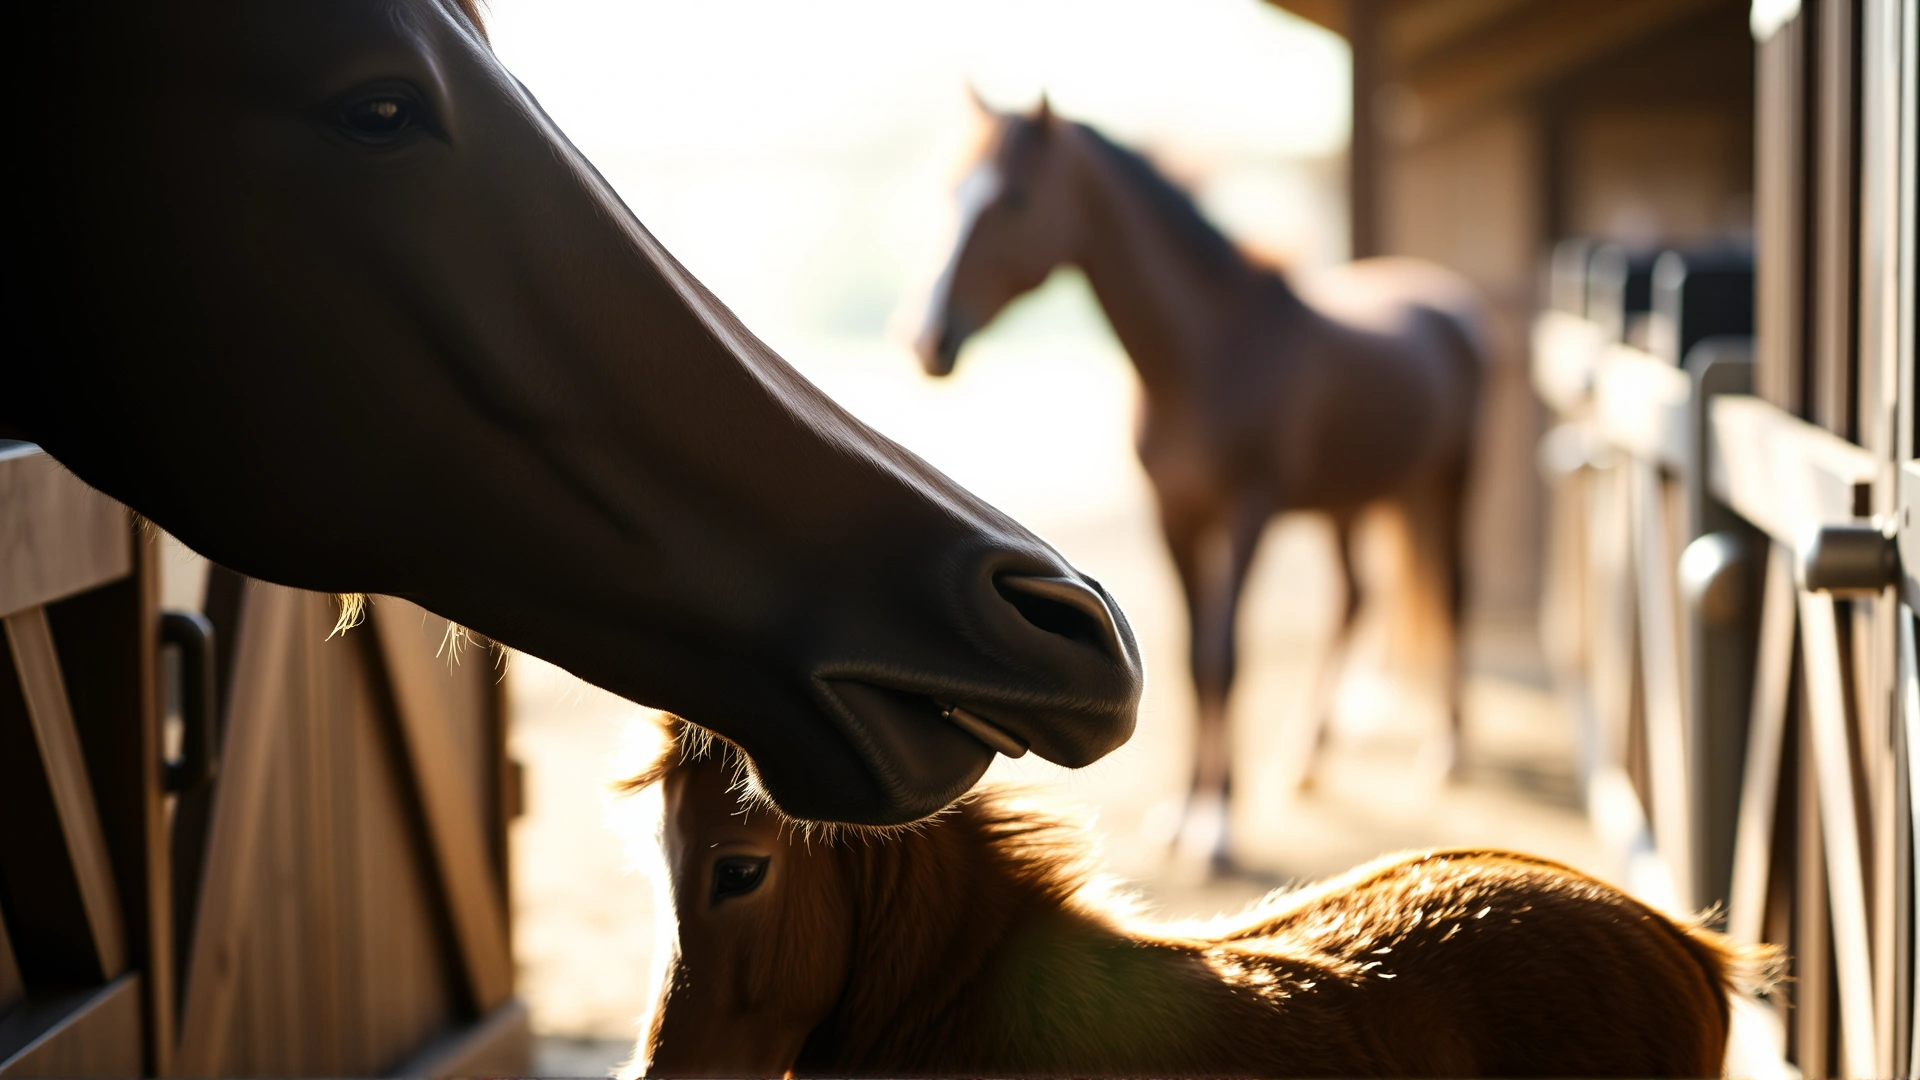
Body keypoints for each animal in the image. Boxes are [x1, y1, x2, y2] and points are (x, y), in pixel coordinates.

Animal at [915, 99, 1486, 862]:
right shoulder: (1175, 517)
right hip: (1353, 500)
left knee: (1452, 591)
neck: (1207, 351)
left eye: (1016, 200)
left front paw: (1217, 824)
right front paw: (1184, 813)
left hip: (1451, 481)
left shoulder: (1247, 514)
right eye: (951, 191)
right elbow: (1191, 662)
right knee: (1355, 599)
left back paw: (1446, 750)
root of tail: (1450, 305)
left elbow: (1224, 657)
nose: (927, 339)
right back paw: (1305, 759)